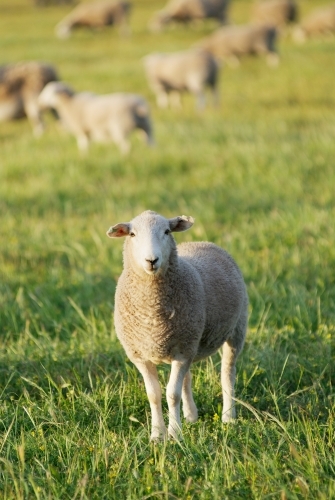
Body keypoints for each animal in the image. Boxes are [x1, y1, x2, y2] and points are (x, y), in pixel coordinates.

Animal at [106, 211, 248, 442]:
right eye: (133, 234)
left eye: (166, 231)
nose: (151, 260)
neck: (152, 317)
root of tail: (205, 242)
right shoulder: (142, 355)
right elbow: (154, 394)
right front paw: (157, 434)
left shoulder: (182, 352)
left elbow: (172, 394)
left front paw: (175, 433)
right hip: (190, 341)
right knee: (187, 379)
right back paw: (191, 416)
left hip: (236, 330)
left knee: (227, 373)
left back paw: (228, 417)